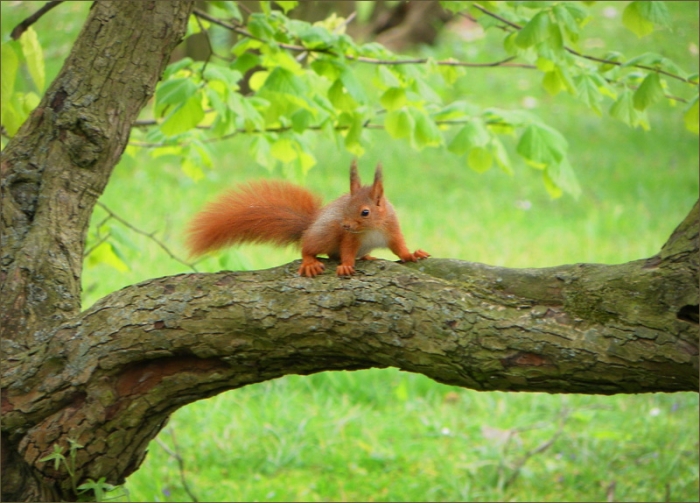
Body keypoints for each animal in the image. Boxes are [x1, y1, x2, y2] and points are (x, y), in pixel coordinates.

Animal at [186, 160, 430, 277]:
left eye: (365, 212)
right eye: (345, 207)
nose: (345, 224)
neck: (372, 229)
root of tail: (310, 226)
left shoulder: (392, 230)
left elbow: (399, 248)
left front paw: (413, 254)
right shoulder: (350, 237)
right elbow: (347, 250)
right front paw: (346, 265)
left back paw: (368, 256)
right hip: (325, 232)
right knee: (309, 247)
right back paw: (310, 261)